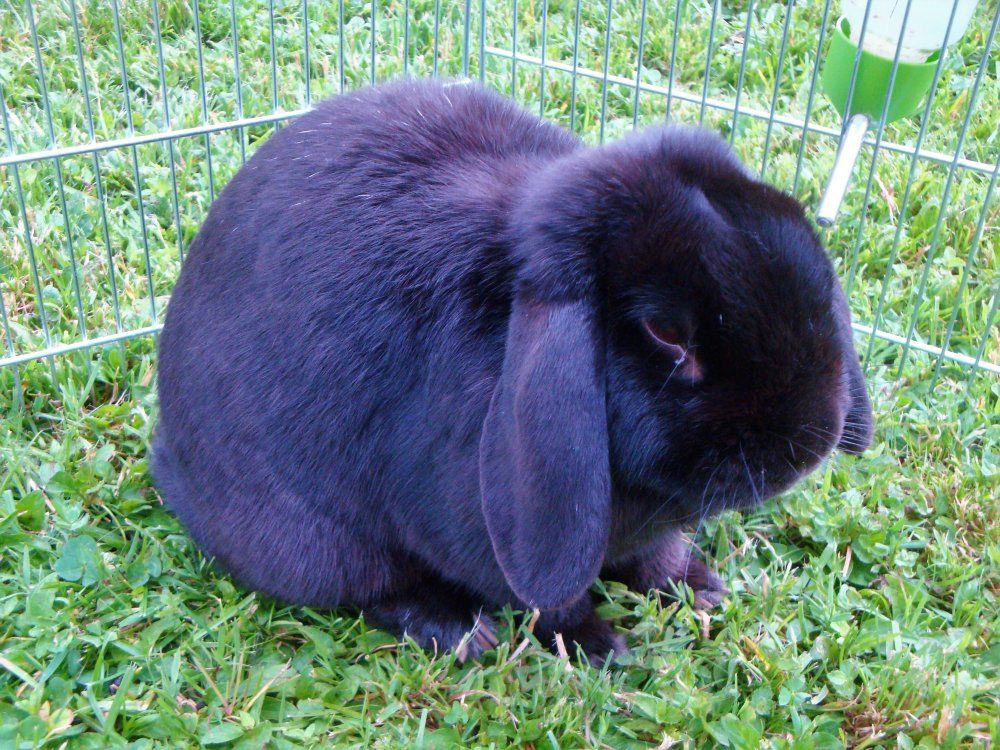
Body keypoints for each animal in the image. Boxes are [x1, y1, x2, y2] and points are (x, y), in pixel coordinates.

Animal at [153, 78, 873, 664]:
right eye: (667, 332)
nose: (808, 444)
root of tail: (169, 465)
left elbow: (657, 554)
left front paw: (700, 591)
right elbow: (547, 600)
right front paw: (599, 647)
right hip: (315, 540)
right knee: (371, 587)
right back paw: (461, 631)